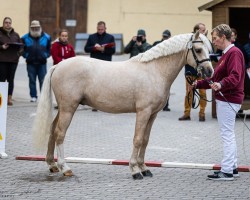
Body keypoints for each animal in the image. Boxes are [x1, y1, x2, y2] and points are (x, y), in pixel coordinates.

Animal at [32, 31, 214, 180]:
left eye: (208, 49)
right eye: (198, 50)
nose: (209, 71)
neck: (154, 70)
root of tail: (58, 66)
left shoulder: (152, 114)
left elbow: (146, 140)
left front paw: (144, 168)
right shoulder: (143, 112)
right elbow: (138, 140)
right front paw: (135, 170)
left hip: (64, 108)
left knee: (52, 130)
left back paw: (52, 165)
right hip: (68, 108)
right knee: (60, 133)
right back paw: (65, 168)